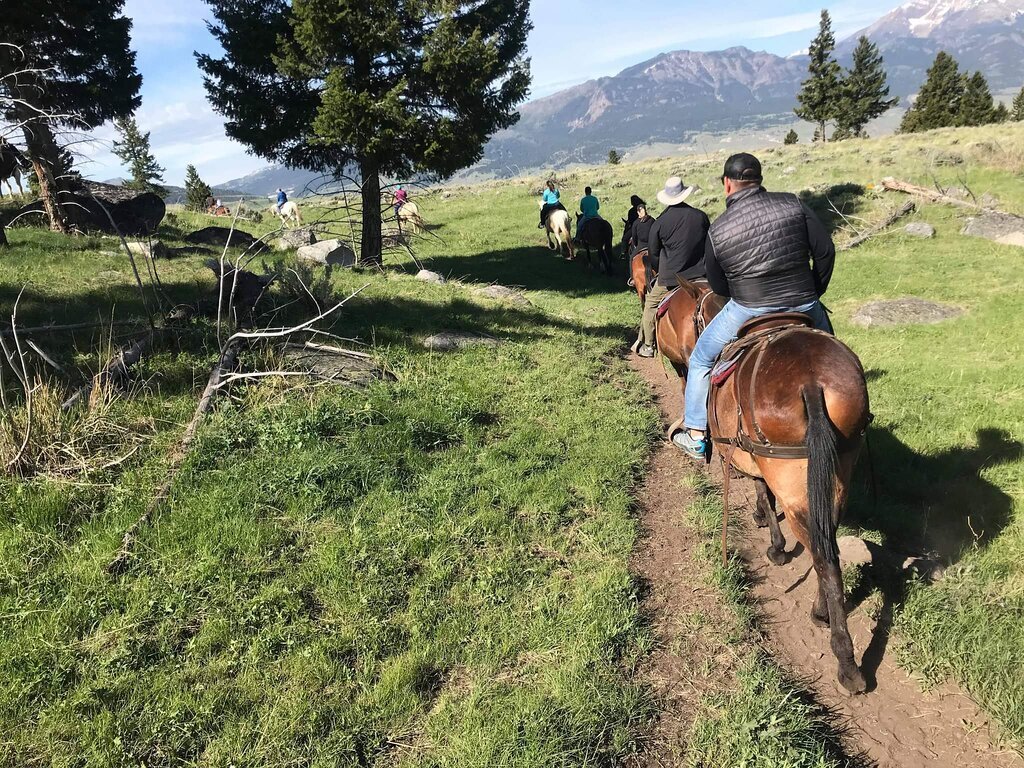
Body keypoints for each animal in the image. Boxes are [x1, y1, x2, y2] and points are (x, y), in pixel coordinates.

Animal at [712, 315, 872, 696]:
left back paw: (846, 663)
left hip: (788, 474)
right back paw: (824, 615)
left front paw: (776, 547)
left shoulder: (753, 458)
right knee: (827, 546)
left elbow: (765, 498)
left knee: (824, 557)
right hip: (836, 472)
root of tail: (812, 381)